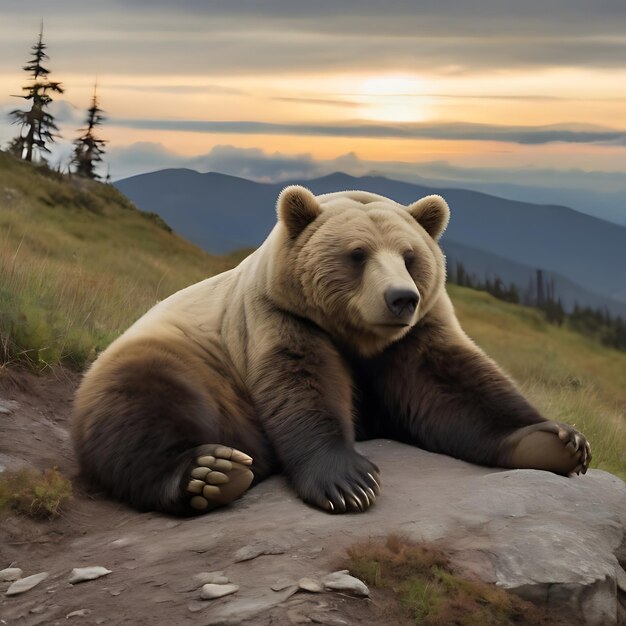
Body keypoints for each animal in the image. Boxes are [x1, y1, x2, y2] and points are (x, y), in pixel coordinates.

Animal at [70, 184, 588, 512]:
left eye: (410, 257)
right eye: (358, 255)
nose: (401, 298)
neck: (359, 335)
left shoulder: (416, 333)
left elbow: (454, 384)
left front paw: (557, 442)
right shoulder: (279, 317)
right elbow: (301, 387)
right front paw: (349, 482)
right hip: (183, 361)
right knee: (140, 411)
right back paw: (208, 472)